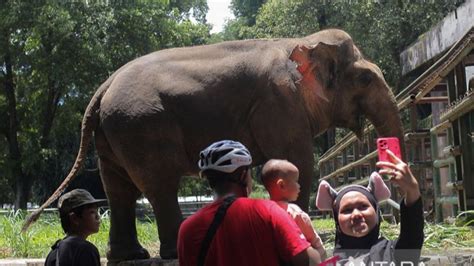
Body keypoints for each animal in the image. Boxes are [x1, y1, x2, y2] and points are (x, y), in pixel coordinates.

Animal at [25, 29, 404, 262]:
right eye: (366, 78)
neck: (301, 42)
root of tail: (102, 88)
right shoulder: (279, 104)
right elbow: (295, 160)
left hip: (113, 132)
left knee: (118, 188)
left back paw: (130, 256)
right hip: (141, 125)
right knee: (158, 184)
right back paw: (172, 252)